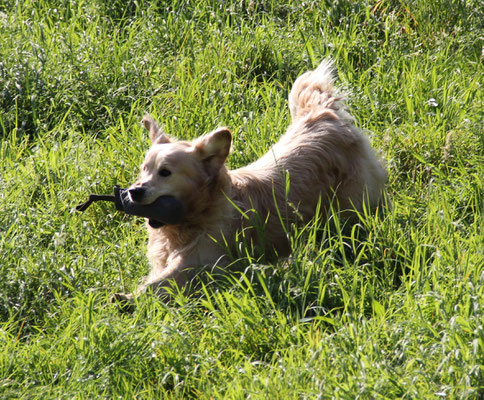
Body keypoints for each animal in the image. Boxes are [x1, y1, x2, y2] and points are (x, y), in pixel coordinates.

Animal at [112, 60, 386, 304]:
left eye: (165, 172)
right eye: (144, 170)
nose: (134, 191)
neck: (197, 214)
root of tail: (321, 115)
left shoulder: (203, 260)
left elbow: (162, 282)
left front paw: (127, 299)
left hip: (355, 205)